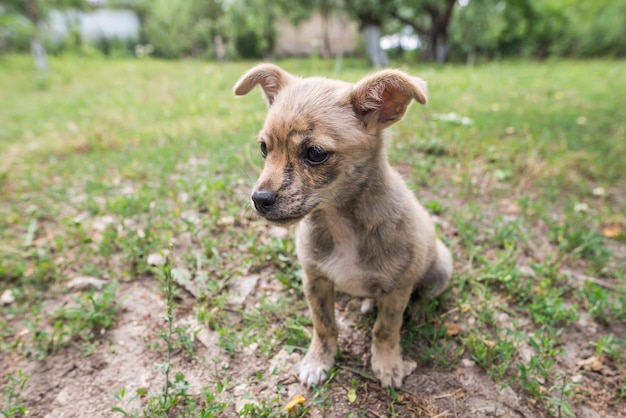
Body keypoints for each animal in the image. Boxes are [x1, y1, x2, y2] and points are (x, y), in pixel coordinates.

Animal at [232, 64, 450, 388]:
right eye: (263, 149)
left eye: (315, 153)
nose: (259, 199)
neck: (341, 222)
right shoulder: (315, 280)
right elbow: (324, 325)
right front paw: (318, 361)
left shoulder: (398, 289)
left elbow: (385, 329)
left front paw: (388, 364)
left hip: (441, 266)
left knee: (424, 293)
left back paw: (420, 311)